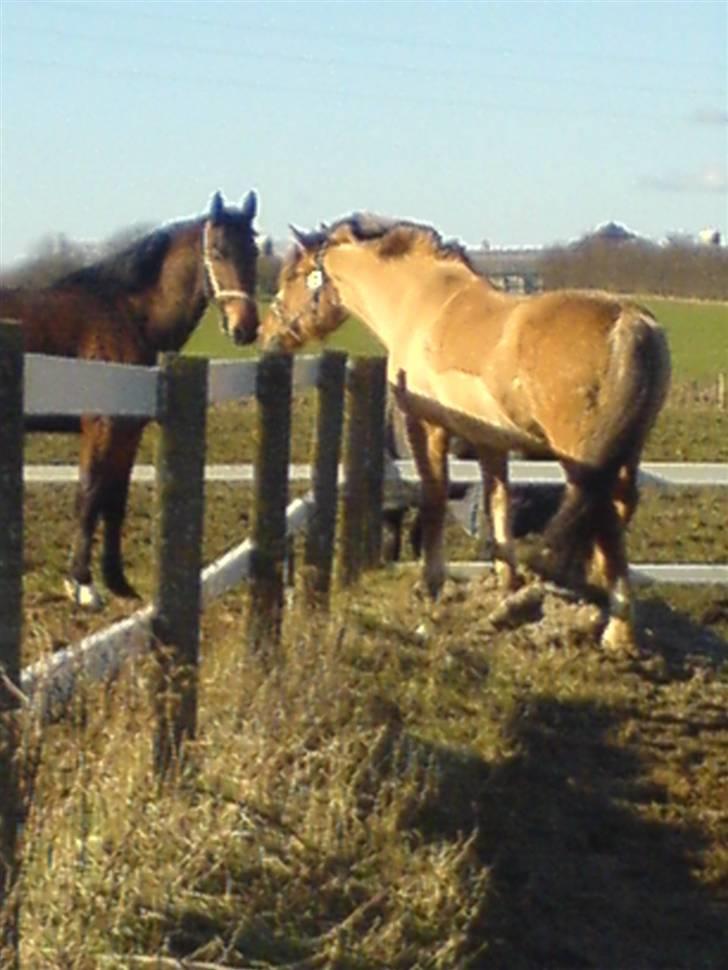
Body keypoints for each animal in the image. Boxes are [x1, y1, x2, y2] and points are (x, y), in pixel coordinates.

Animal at [0, 191, 260, 604]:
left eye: (254, 250)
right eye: (218, 250)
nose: (245, 327)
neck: (127, 313)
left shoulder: (128, 431)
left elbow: (114, 499)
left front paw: (118, 582)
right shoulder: (101, 425)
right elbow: (89, 494)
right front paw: (82, 584)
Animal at [260, 216, 672, 656]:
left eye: (292, 276)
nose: (266, 333)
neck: (417, 302)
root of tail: (629, 321)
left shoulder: (427, 427)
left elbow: (434, 497)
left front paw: (431, 582)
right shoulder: (490, 440)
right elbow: (498, 501)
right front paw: (507, 583)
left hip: (582, 456)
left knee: (604, 517)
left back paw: (617, 633)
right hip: (626, 452)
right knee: (617, 510)